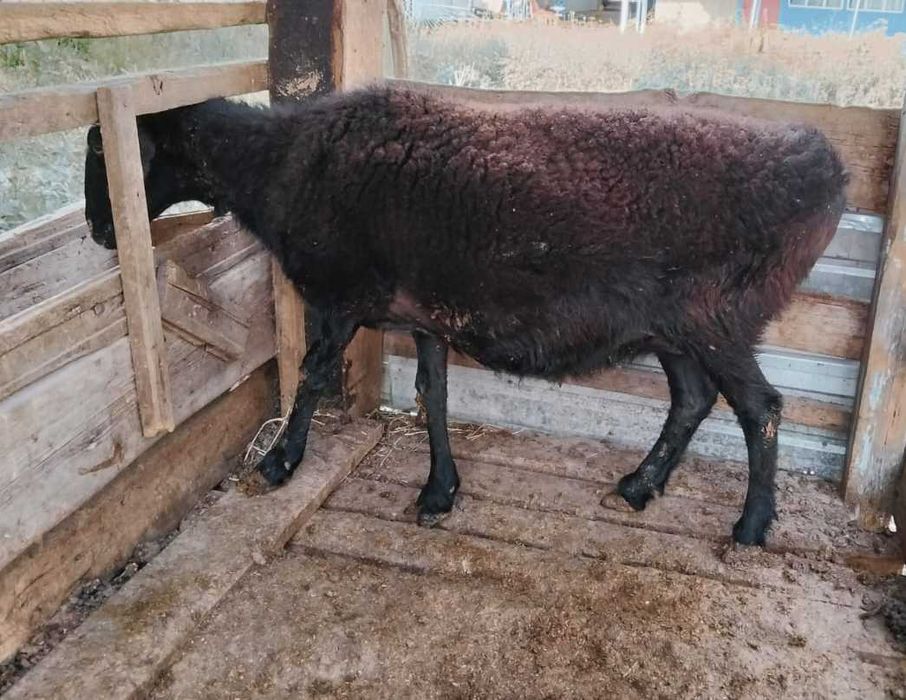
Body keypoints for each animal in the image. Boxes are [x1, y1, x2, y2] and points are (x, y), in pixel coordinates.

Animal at [83, 85, 848, 546]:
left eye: (111, 156)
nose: (97, 230)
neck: (279, 166)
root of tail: (825, 166)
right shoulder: (427, 315)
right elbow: (435, 394)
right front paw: (439, 490)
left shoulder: (339, 297)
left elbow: (312, 375)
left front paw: (279, 463)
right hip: (676, 327)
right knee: (692, 398)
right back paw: (639, 486)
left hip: (719, 316)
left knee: (761, 408)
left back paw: (750, 525)